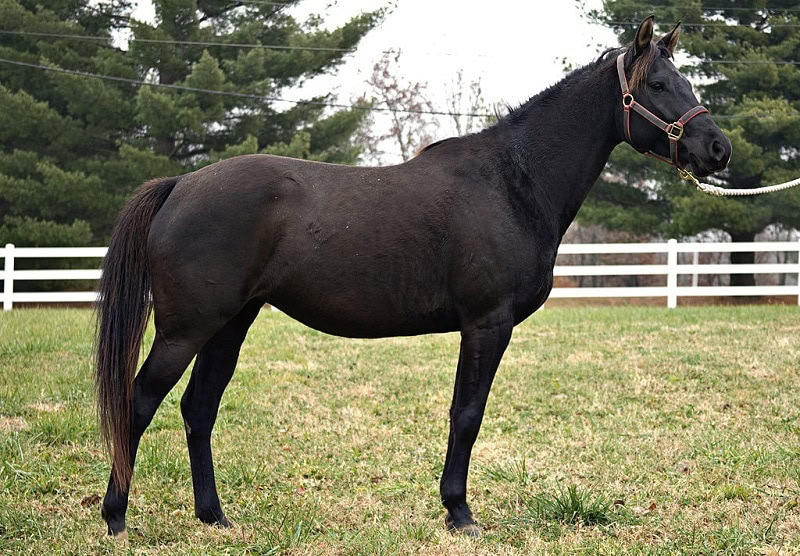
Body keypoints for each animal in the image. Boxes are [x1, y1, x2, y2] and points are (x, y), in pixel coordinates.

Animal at [96, 16, 732, 538]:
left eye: (685, 82)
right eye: (657, 85)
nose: (718, 149)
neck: (512, 181)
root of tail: (181, 184)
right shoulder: (486, 324)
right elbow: (466, 415)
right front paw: (459, 512)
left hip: (230, 325)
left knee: (198, 409)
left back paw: (214, 517)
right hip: (185, 330)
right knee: (140, 402)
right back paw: (117, 518)